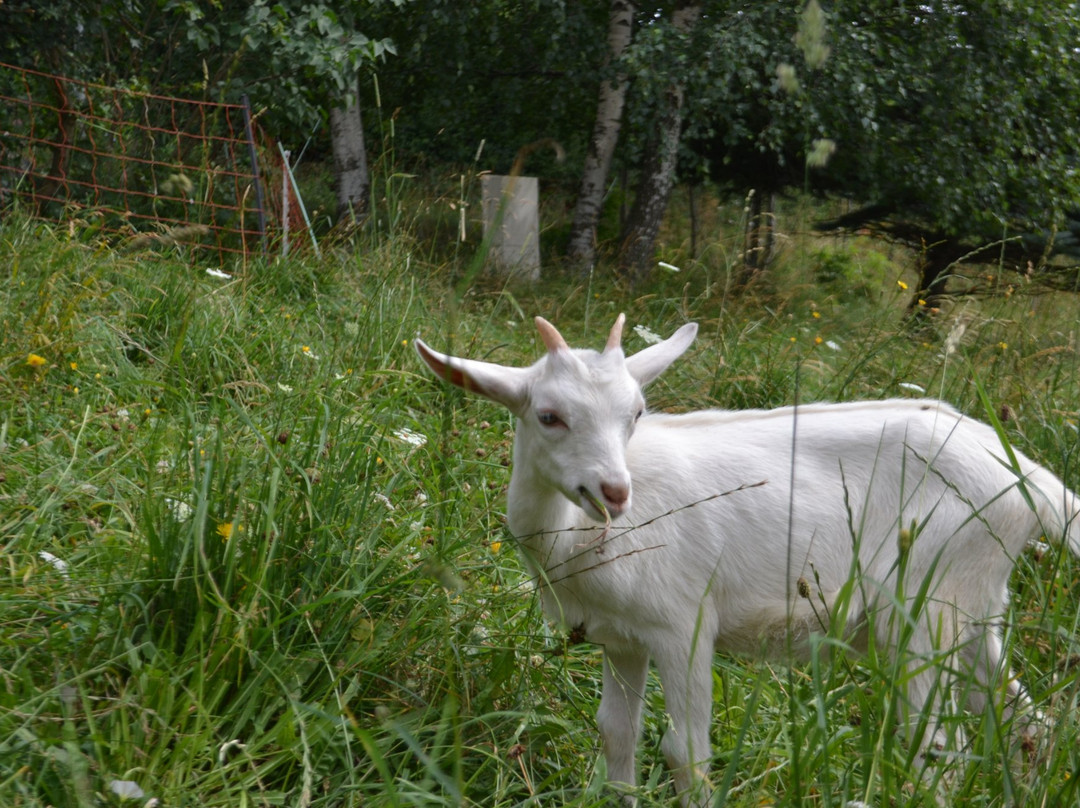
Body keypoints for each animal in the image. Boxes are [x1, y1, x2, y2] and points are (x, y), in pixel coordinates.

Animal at [416, 313, 1080, 803]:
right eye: (549, 416)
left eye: (636, 413)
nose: (614, 492)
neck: (577, 535)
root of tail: (1034, 481)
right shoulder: (621, 636)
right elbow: (615, 734)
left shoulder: (683, 624)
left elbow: (686, 753)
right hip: (975, 605)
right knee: (1025, 724)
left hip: (924, 607)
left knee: (938, 744)